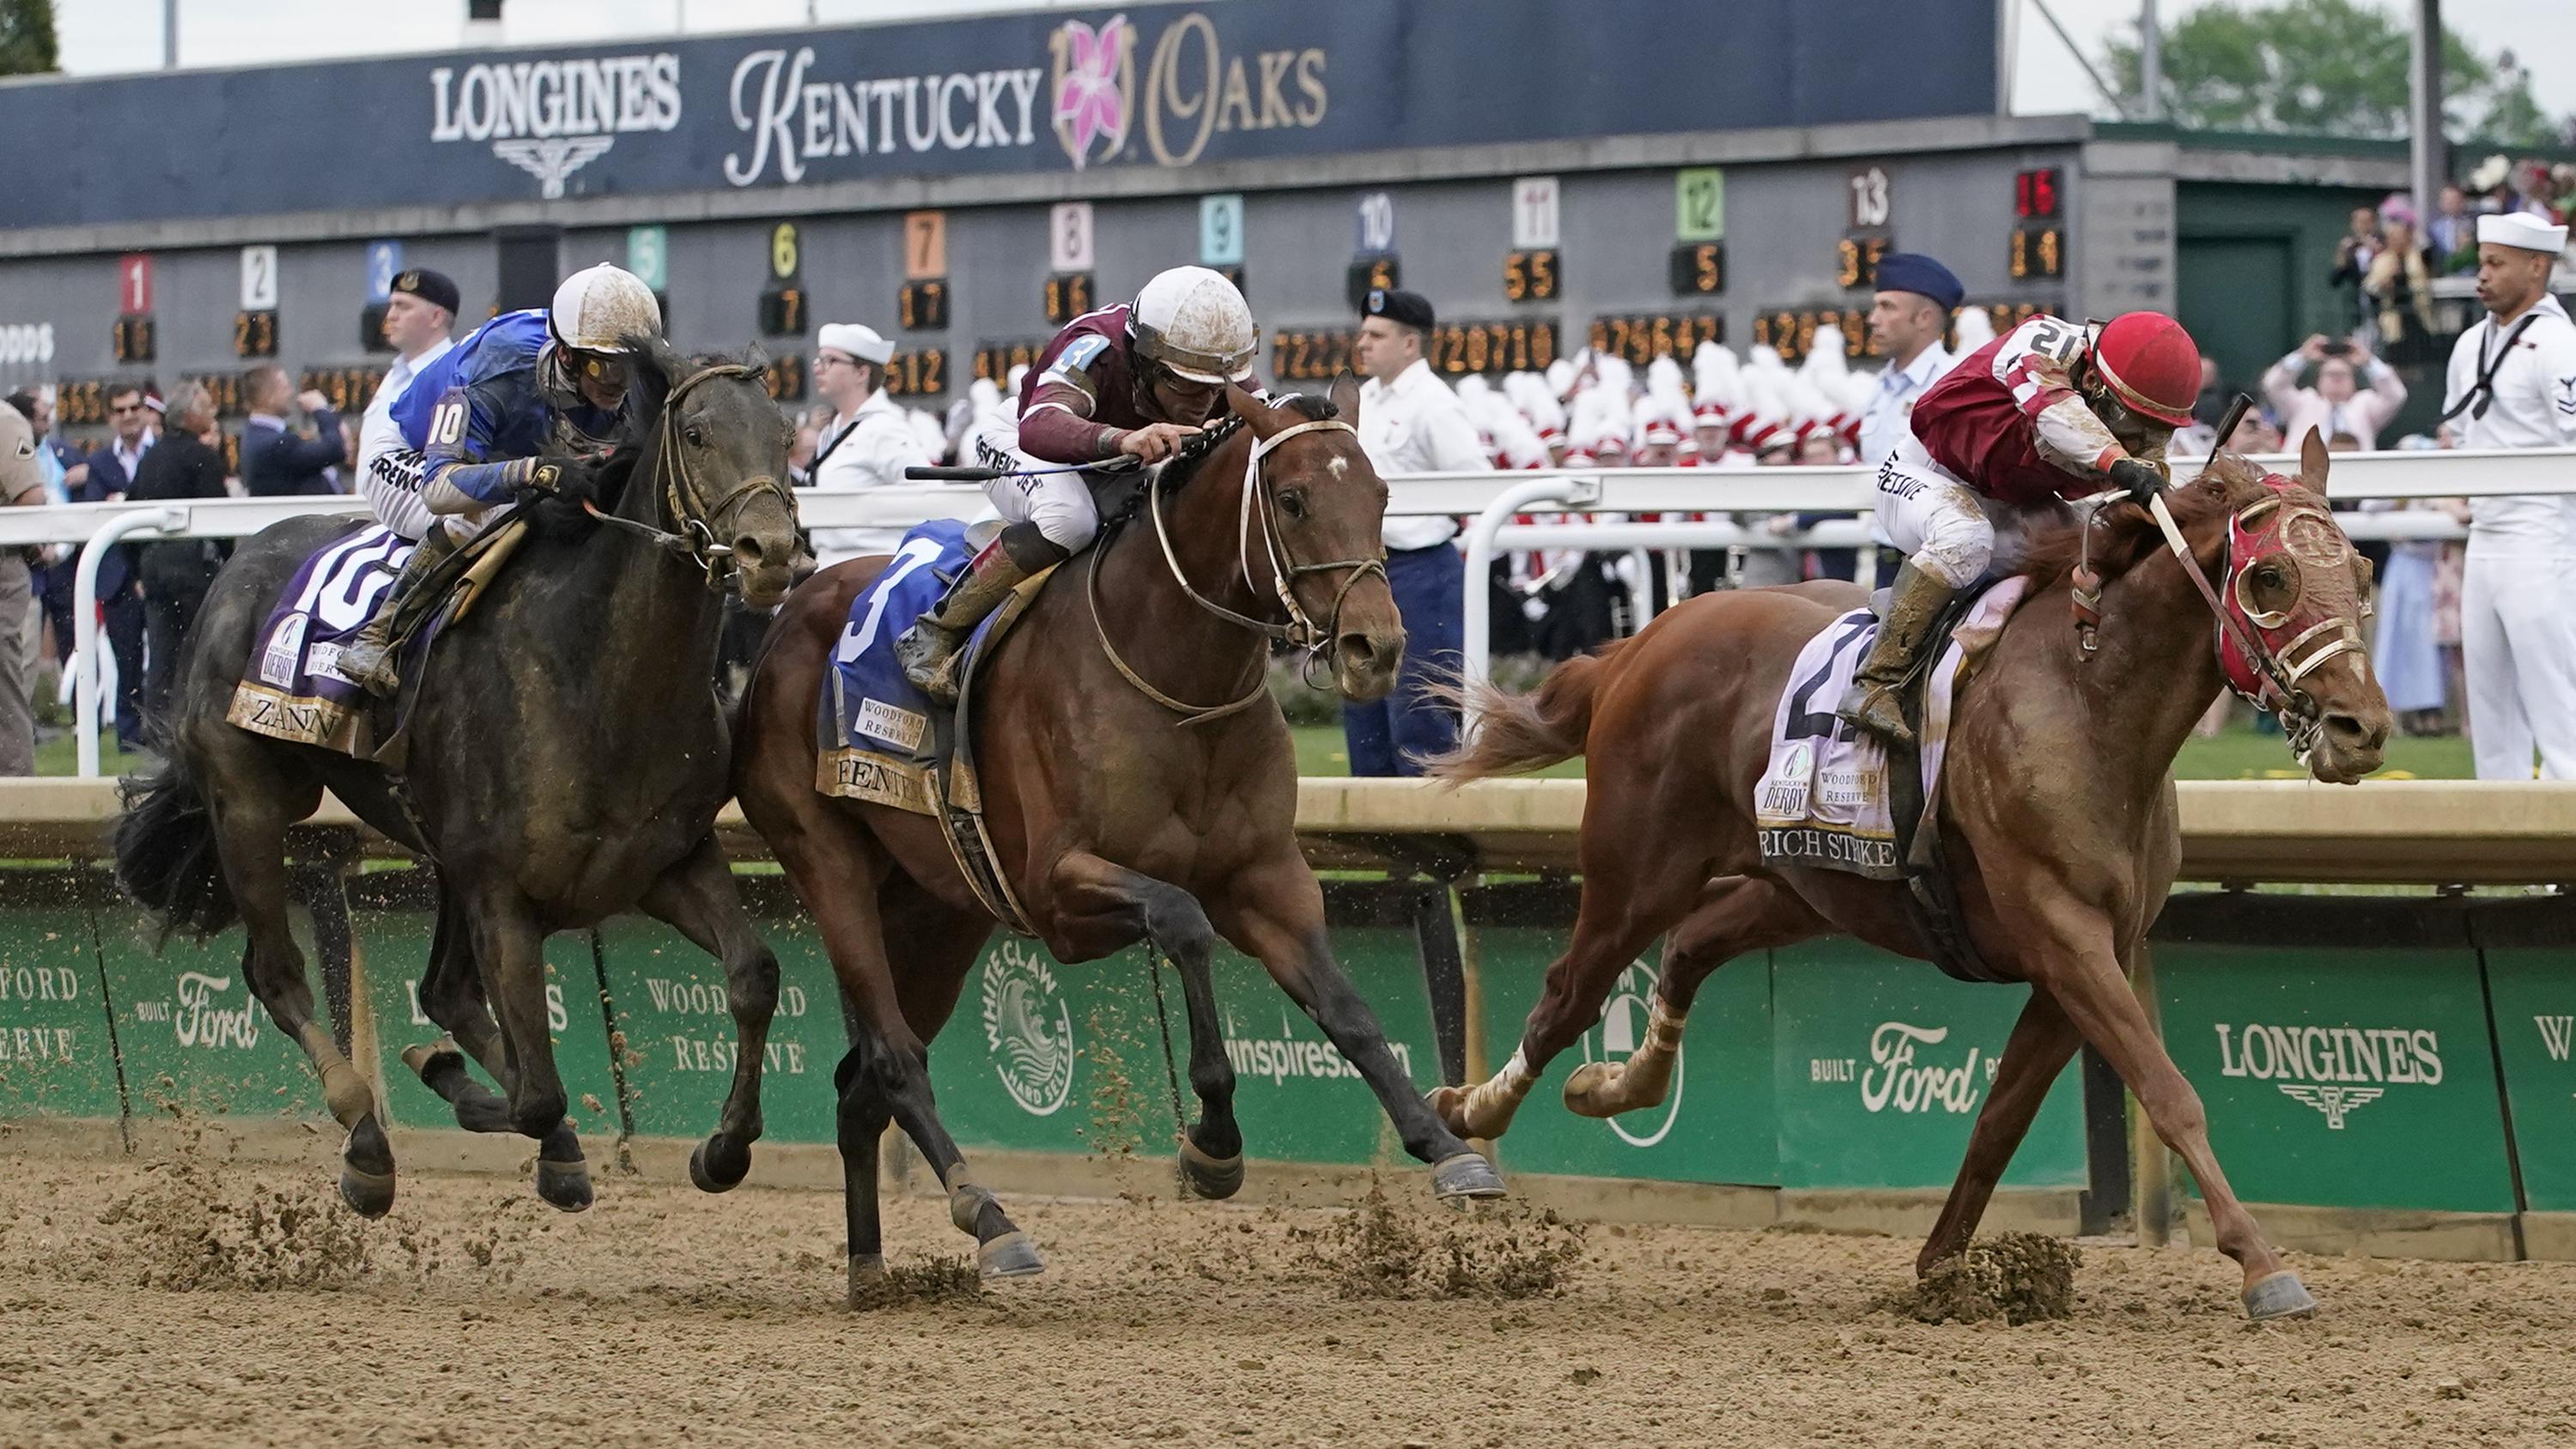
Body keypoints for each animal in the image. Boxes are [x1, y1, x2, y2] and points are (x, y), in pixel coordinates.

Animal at [116, 343, 799, 1211]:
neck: (598, 678)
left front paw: (724, 1145)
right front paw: (459, 1087)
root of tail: (232, 573)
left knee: (444, 991)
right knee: (277, 973)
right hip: (250, 802)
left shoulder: (666, 862)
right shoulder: (502, 892)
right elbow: (537, 1091)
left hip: (439, 854)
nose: (770, 554)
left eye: (783, 434)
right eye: (699, 432)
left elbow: (754, 975)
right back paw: (367, 1140)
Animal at [737, 381, 1504, 1283]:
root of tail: (789, 612)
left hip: (936, 911)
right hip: (828, 864)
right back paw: (990, 1219)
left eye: (1383, 495)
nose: (1373, 647)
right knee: (893, 1059)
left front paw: (1447, 1145)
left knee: (859, 1091)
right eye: (1293, 499)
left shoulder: (1266, 875)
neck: (1175, 671)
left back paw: (870, 1270)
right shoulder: (1057, 889)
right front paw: (1213, 1143)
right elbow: (1183, 921)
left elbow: (1348, 1010)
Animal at [1422, 438, 2380, 1319]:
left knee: (1690, 946)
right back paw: (1470, 1113)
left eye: (2363, 569)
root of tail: (1638, 645)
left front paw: (1943, 1267)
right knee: (1569, 993)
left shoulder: (2084, 954)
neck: (2089, 698)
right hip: (1637, 867)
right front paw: (2265, 1266)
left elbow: (2001, 1118)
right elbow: (2170, 1094)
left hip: (1798, 884)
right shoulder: (2063, 932)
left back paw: (1618, 1086)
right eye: (2272, 578)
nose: (2362, 728)